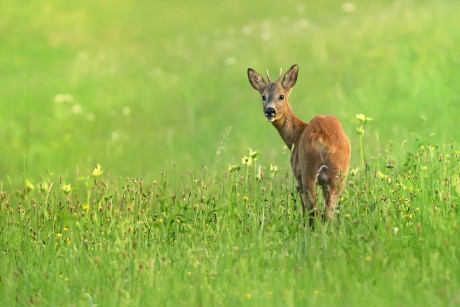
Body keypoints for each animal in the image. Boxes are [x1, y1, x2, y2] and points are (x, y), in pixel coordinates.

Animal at [250, 65, 350, 227]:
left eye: (281, 96)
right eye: (263, 96)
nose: (270, 111)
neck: (296, 136)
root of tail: (322, 138)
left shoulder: (298, 175)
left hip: (307, 171)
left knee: (314, 210)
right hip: (339, 174)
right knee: (328, 212)